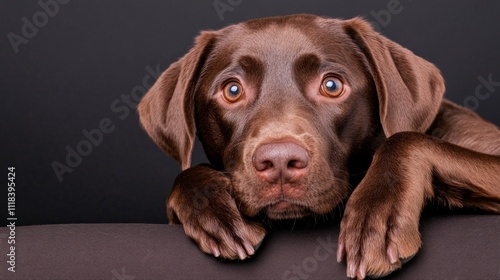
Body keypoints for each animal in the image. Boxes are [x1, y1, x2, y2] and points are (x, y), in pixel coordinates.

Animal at [138, 14, 500, 278]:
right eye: (232, 90)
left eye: (332, 85)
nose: (280, 162)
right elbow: (184, 177)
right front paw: (210, 205)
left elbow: (406, 137)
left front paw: (378, 218)